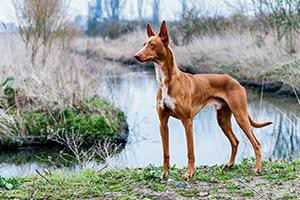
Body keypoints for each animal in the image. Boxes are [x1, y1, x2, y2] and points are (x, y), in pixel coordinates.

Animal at [134, 20, 272, 180]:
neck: (166, 81)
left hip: (240, 116)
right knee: (235, 141)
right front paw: (165, 173)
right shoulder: (163, 123)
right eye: (144, 44)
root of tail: (236, 81)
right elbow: (165, 152)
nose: (135, 56)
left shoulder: (187, 122)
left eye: (152, 44)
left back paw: (258, 168)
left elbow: (190, 151)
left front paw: (189, 173)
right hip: (222, 119)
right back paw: (229, 165)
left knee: (256, 143)